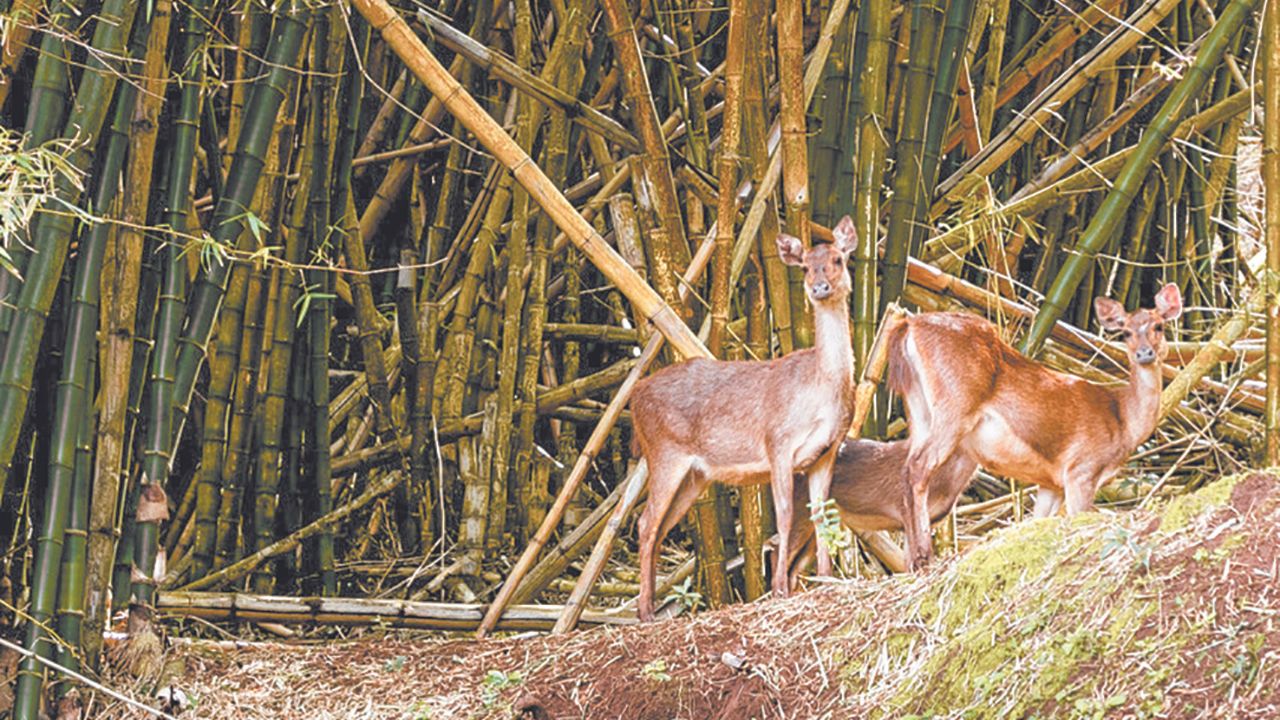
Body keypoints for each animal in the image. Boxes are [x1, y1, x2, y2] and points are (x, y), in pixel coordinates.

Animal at [629, 215, 860, 620]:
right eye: (805, 266)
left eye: (837, 259)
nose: (819, 287)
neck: (821, 394)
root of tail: (633, 399)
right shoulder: (778, 443)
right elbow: (783, 514)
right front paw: (780, 588)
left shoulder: (827, 451)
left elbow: (820, 513)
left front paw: (826, 577)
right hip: (664, 452)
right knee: (646, 522)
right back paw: (644, 611)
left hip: (695, 476)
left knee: (659, 525)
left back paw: (653, 605)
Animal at [890, 283, 1177, 568]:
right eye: (1126, 332)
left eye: (1159, 326)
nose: (1144, 353)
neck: (1122, 421)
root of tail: (910, 325)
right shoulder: (1081, 469)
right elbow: (1077, 518)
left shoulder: (1053, 482)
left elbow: (1038, 520)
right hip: (955, 407)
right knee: (919, 467)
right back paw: (923, 555)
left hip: (919, 410)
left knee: (907, 466)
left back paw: (910, 560)